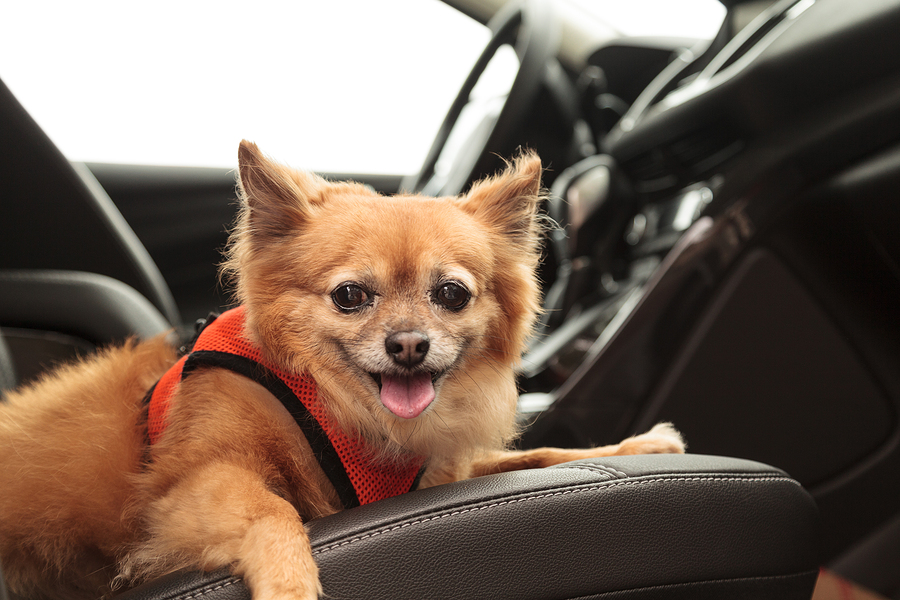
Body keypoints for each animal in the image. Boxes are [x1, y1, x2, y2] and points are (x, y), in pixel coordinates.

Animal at [0, 142, 684, 600]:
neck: (346, 409)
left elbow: (539, 456)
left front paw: (637, 446)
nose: (408, 345)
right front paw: (291, 587)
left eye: (452, 294)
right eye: (350, 296)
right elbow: (274, 512)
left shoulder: (440, 476)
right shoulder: (189, 488)